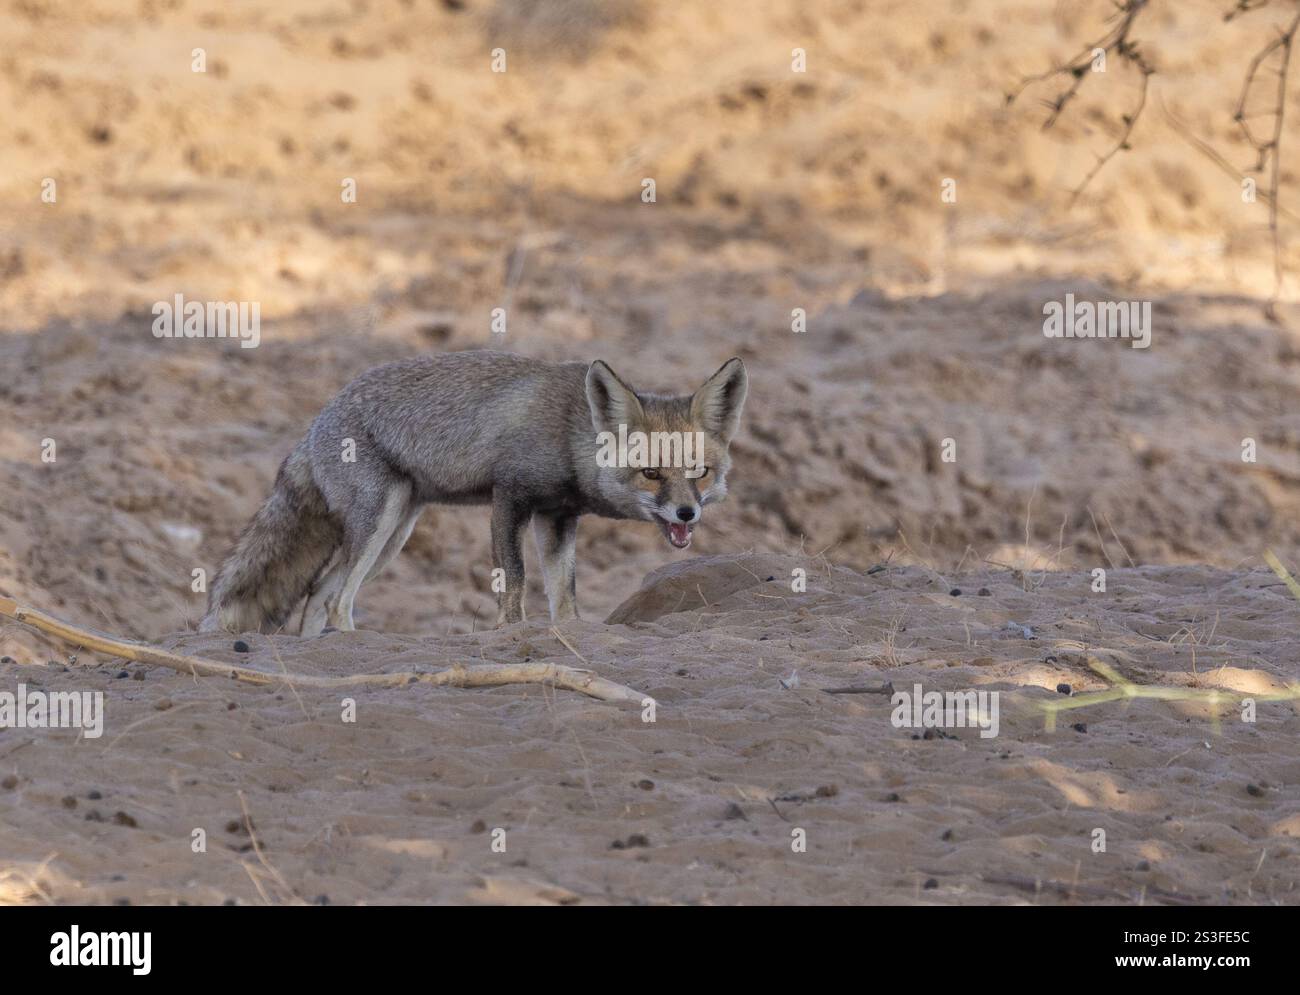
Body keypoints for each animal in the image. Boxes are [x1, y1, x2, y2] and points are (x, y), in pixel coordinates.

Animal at [199, 350, 748, 634]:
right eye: (651, 474)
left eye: (699, 471)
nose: (687, 514)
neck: (569, 432)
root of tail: (316, 420)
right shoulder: (509, 498)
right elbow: (516, 584)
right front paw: (510, 634)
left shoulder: (558, 517)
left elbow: (565, 597)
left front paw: (567, 632)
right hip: (380, 523)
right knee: (337, 599)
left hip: (395, 533)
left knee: (319, 594)